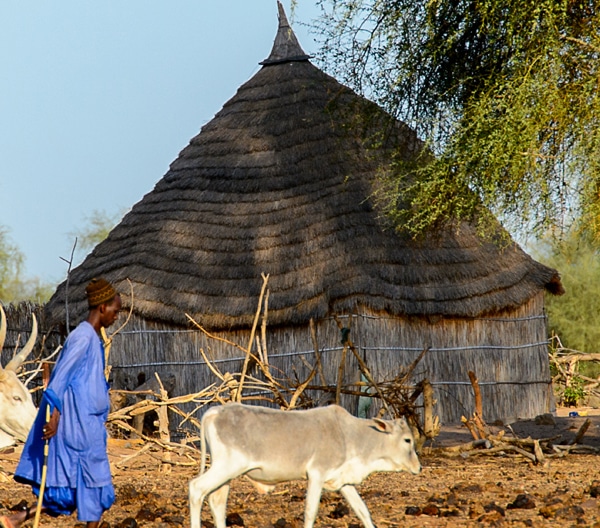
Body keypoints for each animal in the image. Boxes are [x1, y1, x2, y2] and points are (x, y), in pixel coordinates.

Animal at [189, 402, 422, 524]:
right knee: (196, 489)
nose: (419, 467)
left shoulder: (343, 481)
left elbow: (363, 511)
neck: (351, 435)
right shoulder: (317, 475)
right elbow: (310, 512)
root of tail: (214, 411)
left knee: (217, 502)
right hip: (226, 468)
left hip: (226, 474)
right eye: (407, 440)